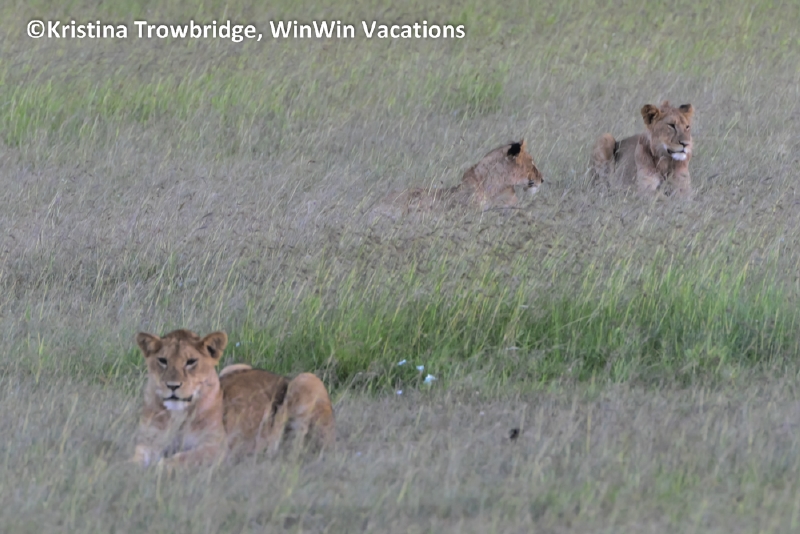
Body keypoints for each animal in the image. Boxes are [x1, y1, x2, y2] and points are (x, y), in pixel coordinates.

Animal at [132, 329, 334, 467]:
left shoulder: (216, 448)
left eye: (191, 362)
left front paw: (157, 470)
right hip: (234, 367)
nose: (172, 386)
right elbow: (135, 456)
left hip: (305, 380)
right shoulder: (148, 441)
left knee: (295, 449)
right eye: (162, 361)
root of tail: (281, 376)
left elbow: (178, 460)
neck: (178, 414)